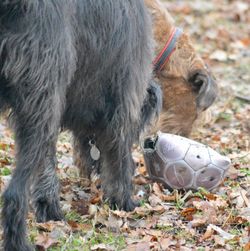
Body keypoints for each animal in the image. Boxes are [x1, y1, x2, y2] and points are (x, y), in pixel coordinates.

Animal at [0, 0, 162, 250]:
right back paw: (18, 243)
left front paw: (49, 208)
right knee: (13, 194)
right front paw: (124, 201)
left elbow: (47, 163)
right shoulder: (124, 101)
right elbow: (120, 158)